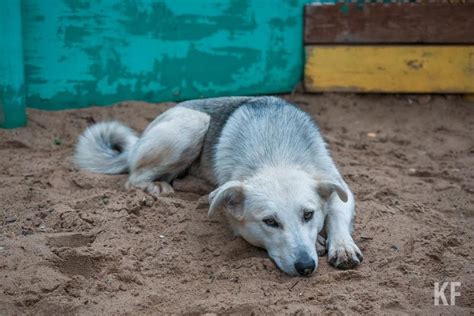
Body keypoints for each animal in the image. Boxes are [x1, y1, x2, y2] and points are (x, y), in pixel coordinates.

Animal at [75, 97, 362, 276]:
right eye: (270, 222)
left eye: (308, 215)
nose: (305, 266)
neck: (276, 153)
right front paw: (322, 243)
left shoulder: (338, 187)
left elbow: (337, 213)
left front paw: (342, 246)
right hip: (193, 124)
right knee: (134, 177)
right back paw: (158, 186)